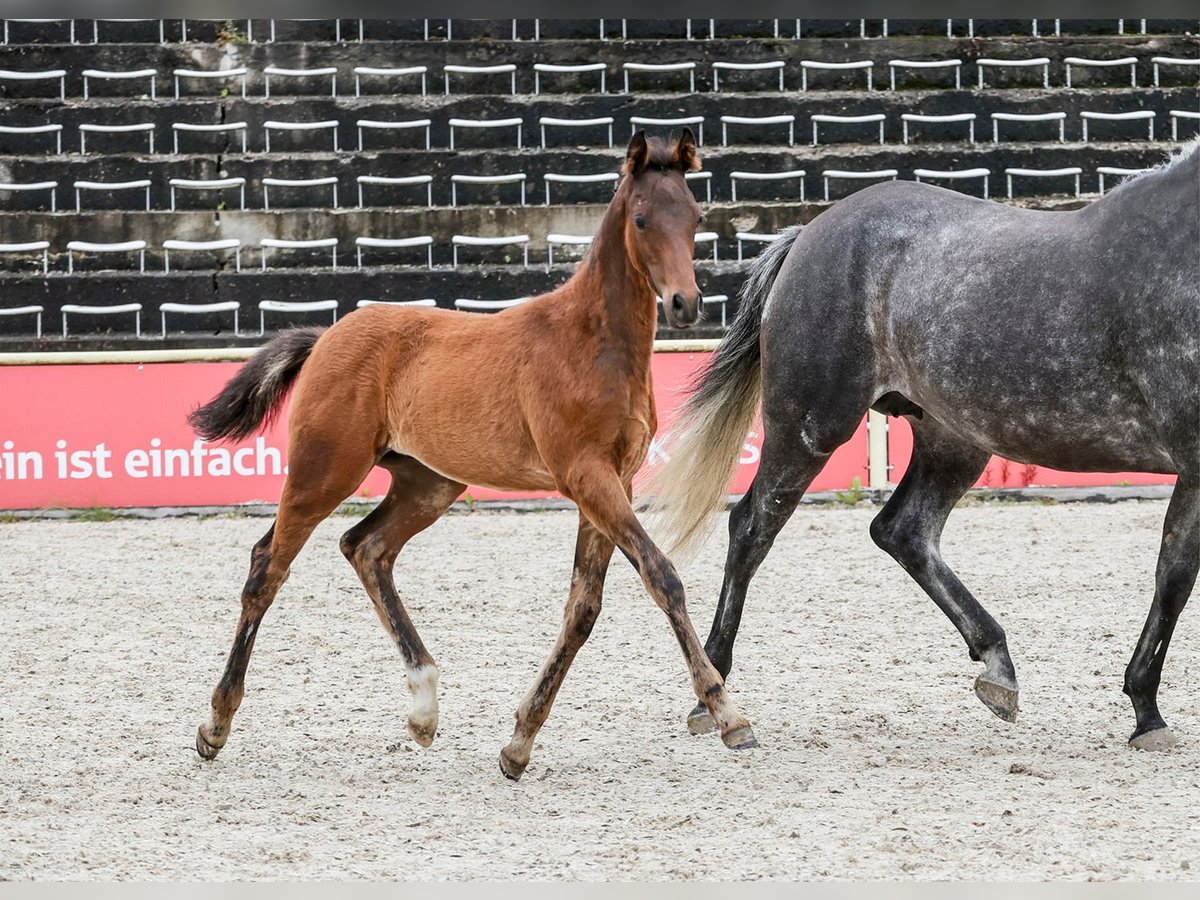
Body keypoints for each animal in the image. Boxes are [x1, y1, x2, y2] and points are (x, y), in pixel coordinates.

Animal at [188, 128, 753, 782]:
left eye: (695, 216)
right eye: (641, 219)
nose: (687, 302)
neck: (592, 342)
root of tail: (326, 335)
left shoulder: (614, 482)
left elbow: (583, 608)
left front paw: (519, 743)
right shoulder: (586, 475)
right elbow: (662, 578)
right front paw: (728, 716)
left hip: (429, 483)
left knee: (365, 548)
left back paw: (423, 708)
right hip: (323, 470)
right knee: (268, 567)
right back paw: (215, 725)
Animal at [657, 135, 1200, 753]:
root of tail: (811, 234)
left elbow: (1174, 572)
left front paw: (1146, 710)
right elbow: (1175, 577)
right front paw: (1146, 711)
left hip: (954, 442)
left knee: (903, 530)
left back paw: (998, 668)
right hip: (811, 426)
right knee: (752, 527)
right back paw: (717, 703)